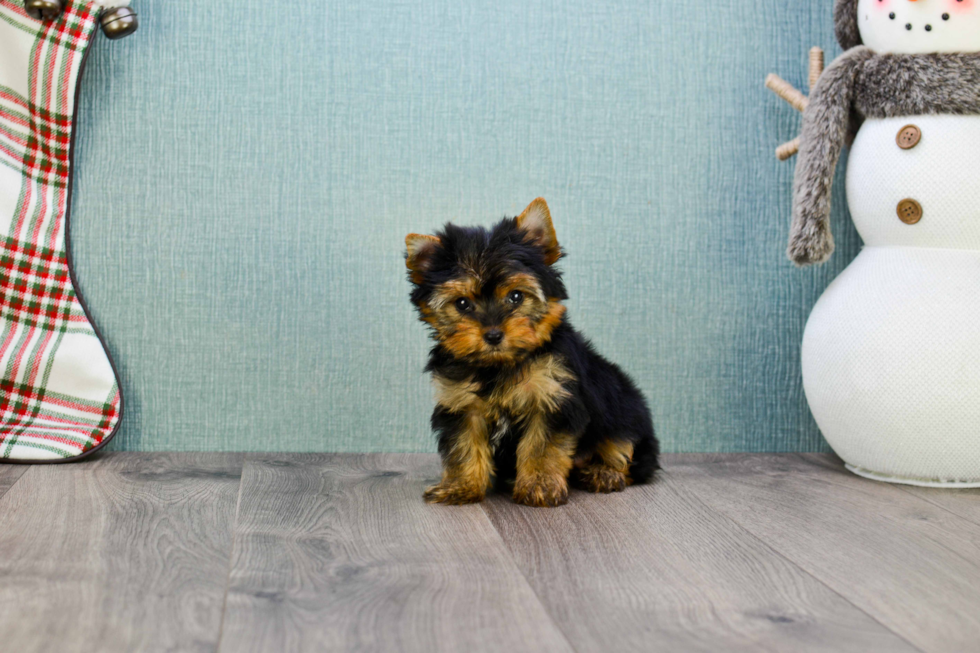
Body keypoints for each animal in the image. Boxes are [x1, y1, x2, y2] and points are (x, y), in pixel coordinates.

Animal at [406, 196, 660, 506]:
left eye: (516, 296)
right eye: (463, 304)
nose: (493, 334)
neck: (500, 364)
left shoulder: (551, 396)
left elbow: (542, 446)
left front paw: (540, 485)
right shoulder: (461, 403)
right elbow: (463, 444)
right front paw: (460, 486)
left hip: (625, 411)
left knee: (624, 448)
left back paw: (604, 472)